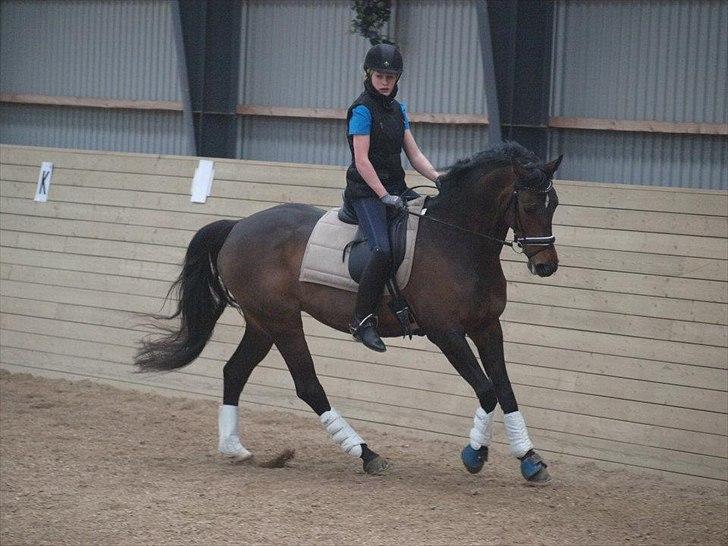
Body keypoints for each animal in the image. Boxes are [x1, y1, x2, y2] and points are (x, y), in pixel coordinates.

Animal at [136, 140, 564, 480]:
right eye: (528, 204)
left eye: (555, 204)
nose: (546, 265)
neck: (455, 241)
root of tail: (239, 226)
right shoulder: (446, 333)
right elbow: (487, 389)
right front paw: (474, 454)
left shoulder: (488, 326)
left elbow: (505, 388)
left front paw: (529, 459)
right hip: (282, 321)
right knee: (308, 386)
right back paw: (366, 454)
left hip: (261, 323)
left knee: (234, 371)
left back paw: (234, 448)